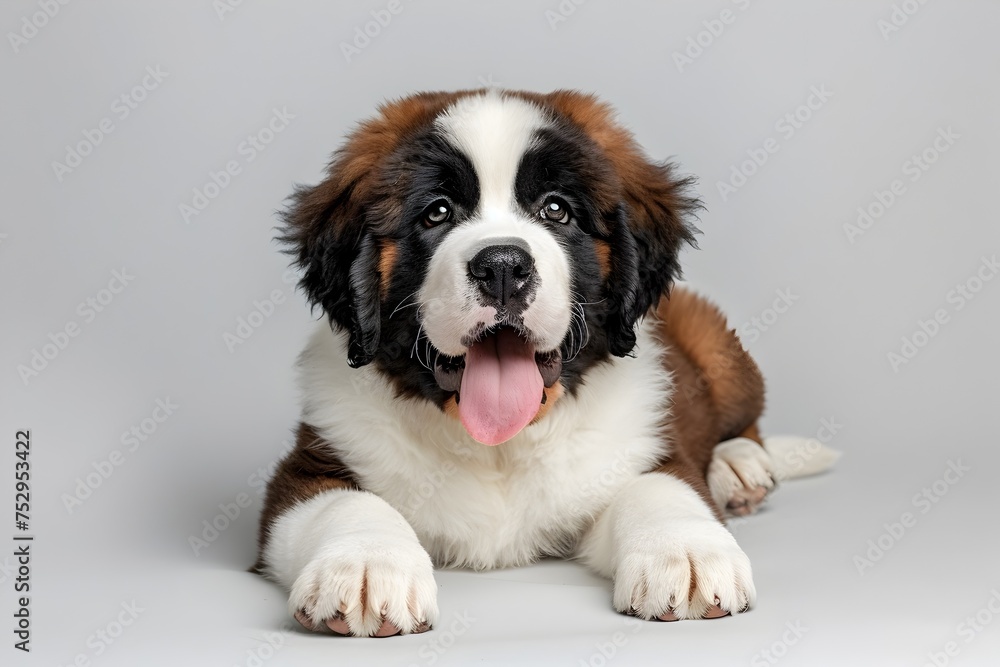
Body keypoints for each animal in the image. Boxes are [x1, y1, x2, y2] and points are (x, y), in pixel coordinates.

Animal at [252, 87, 836, 636]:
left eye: (556, 210)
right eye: (437, 212)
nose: (502, 267)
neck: (499, 447)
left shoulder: (647, 445)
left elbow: (662, 488)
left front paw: (687, 555)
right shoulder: (313, 464)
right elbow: (345, 503)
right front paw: (366, 567)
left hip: (714, 344)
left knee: (744, 422)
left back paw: (740, 467)